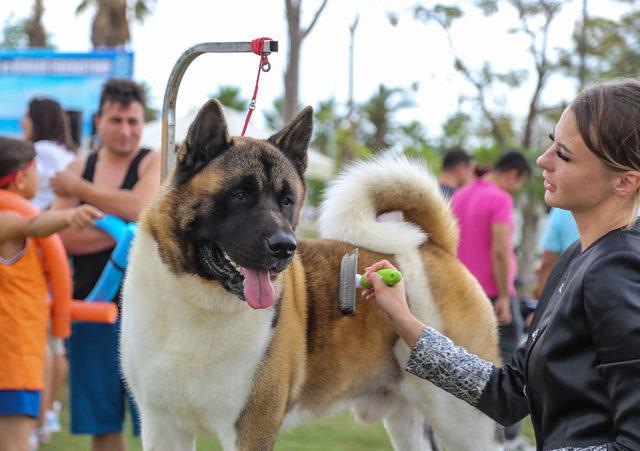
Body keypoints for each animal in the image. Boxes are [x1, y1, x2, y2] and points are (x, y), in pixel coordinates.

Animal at [119, 100, 500, 451]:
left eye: (287, 200)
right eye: (239, 195)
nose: (284, 246)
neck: (202, 299)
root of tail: (435, 245)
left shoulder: (252, 429)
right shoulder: (162, 428)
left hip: (461, 421)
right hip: (409, 421)